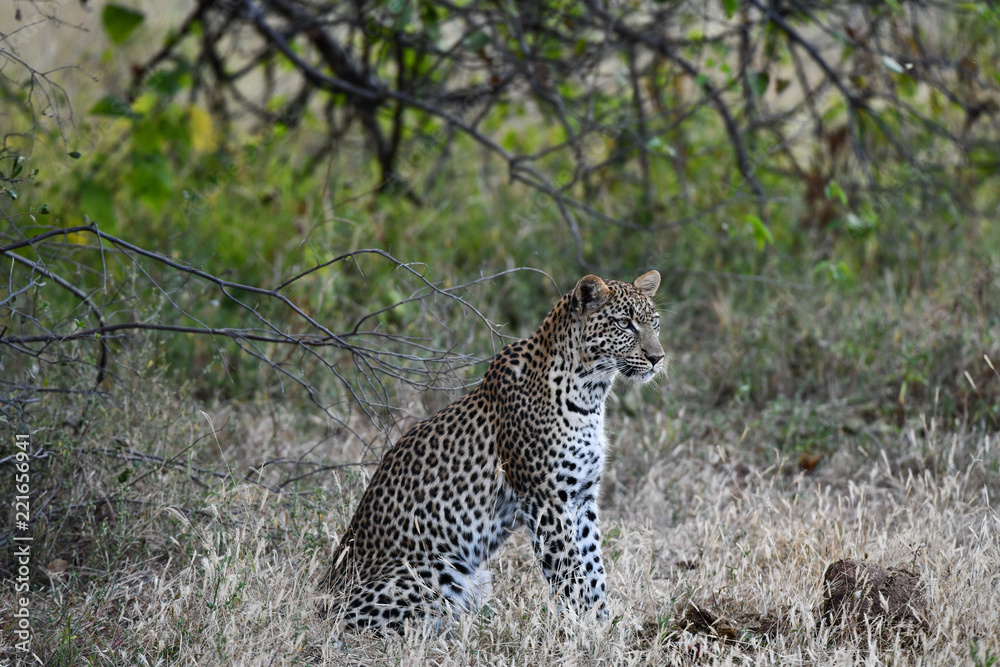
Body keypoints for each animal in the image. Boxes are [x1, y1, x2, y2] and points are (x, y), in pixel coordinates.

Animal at [323, 270, 665, 632]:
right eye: (625, 324)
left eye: (654, 323)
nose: (658, 358)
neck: (591, 392)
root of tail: (324, 596)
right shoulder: (546, 501)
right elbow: (570, 574)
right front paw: (582, 629)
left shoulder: (582, 496)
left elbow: (594, 569)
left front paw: (603, 625)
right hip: (438, 571)